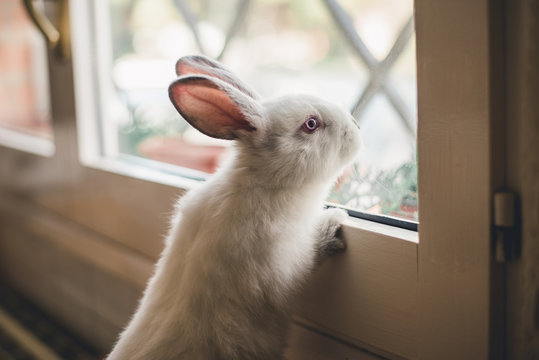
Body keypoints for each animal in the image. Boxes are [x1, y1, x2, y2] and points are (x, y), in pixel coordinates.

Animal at [106, 56, 362, 360]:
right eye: (311, 124)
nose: (356, 127)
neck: (263, 183)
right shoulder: (286, 259)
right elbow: (313, 254)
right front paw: (334, 220)